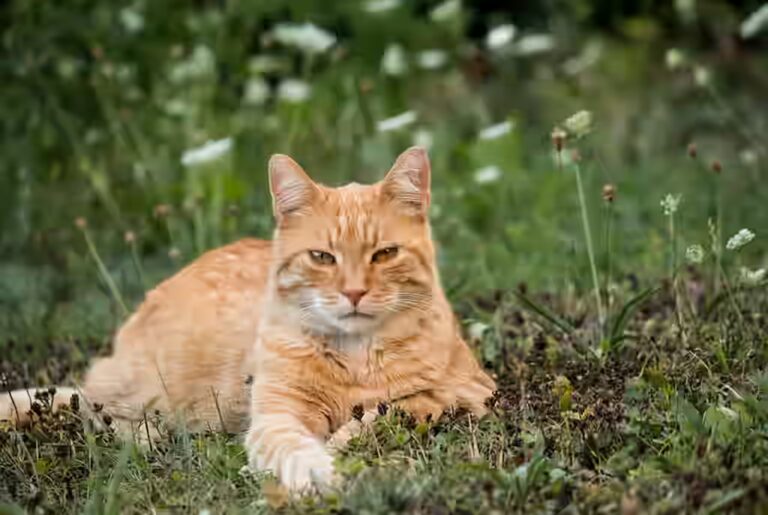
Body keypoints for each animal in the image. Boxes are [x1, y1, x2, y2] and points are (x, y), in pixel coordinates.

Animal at [0, 148, 496, 492]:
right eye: (322, 257)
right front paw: (321, 473)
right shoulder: (276, 418)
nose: (354, 293)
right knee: (101, 411)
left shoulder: (469, 393)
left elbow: (395, 410)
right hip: (142, 389)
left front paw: (347, 443)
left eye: (385, 254)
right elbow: (299, 450)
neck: (355, 358)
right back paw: (149, 436)